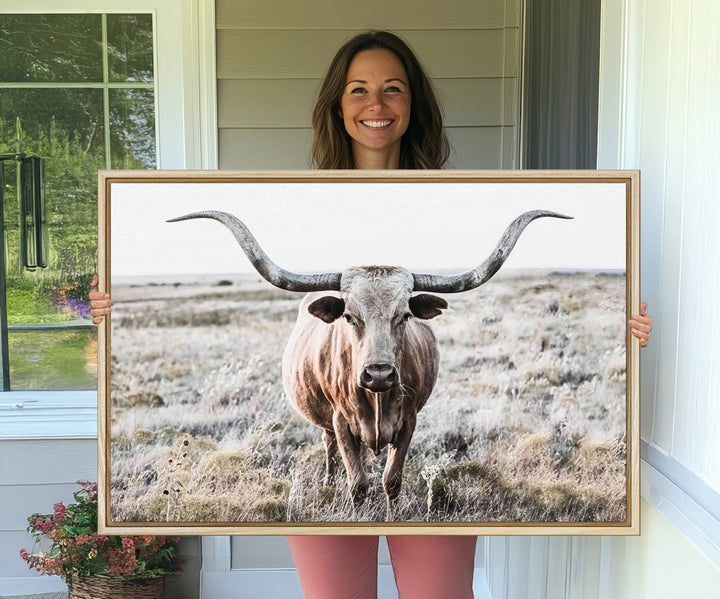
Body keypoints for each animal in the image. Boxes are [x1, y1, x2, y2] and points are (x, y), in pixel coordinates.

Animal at [169, 210, 568, 516]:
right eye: (349, 316)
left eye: (404, 315)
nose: (378, 374)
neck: (376, 400)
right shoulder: (342, 422)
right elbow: (357, 482)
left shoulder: (409, 422)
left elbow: (392, 480)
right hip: (328, 423)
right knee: (331, 452)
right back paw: (328, 483)